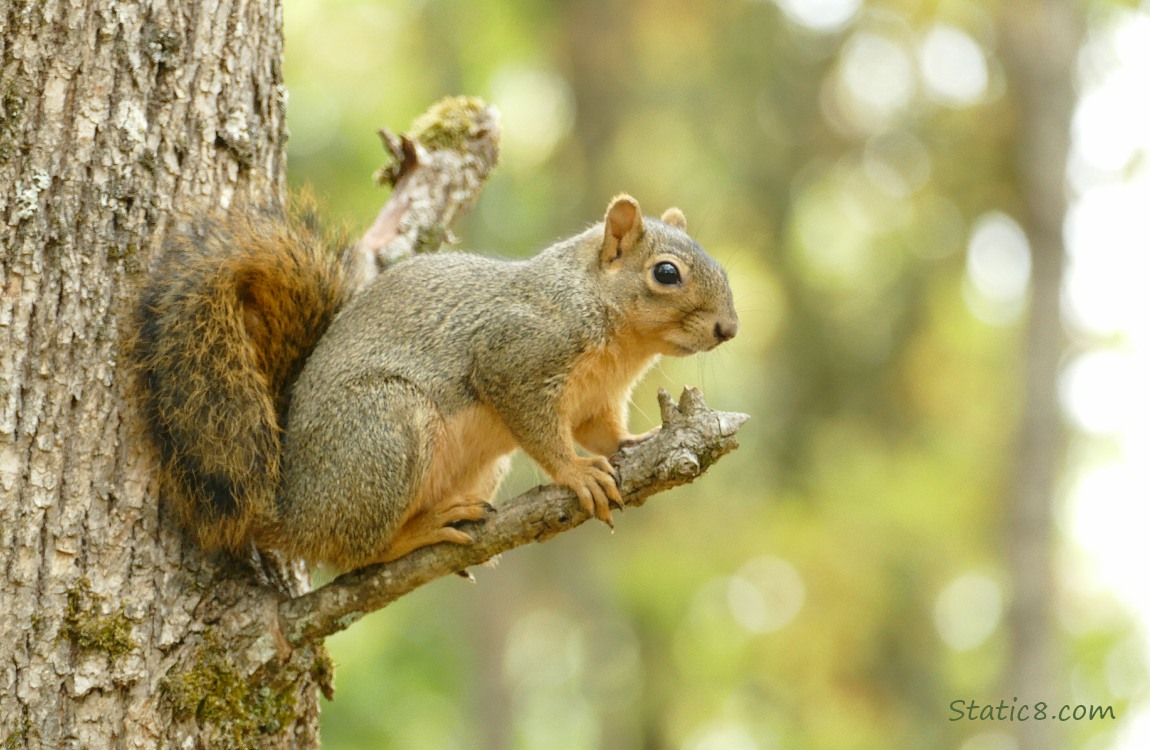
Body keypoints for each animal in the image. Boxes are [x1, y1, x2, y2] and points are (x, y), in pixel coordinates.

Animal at [133, 194, 738, 571]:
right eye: (666, 273)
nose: (729, 329)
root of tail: (290, 506)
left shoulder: (596, 401)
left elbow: (603, 432)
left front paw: (639, 443)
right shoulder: (514, 353)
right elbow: (539, 428)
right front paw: (576, 472)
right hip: (385, 429)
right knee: (353, 551)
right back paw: (414, 533)